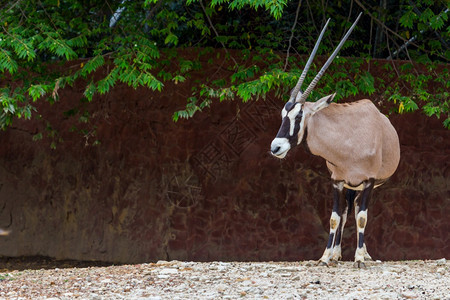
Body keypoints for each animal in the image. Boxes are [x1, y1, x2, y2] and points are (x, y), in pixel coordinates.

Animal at [270, 12, 400, 268]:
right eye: (283, 114)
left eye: (299, 115)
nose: (275, 147)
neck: (348, 140)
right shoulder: (337, 181)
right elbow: (334, 218)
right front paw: (325, 257)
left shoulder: (369, 181)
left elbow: (362, 217)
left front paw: (359, 258)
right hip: (350, 186)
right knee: (348, 210)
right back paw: (338, 253)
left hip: (366, 185)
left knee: (358, 210)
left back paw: (364, 254)